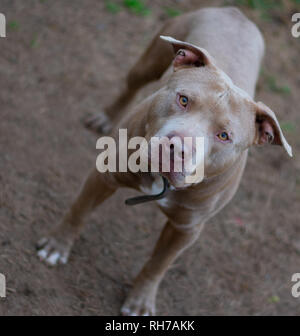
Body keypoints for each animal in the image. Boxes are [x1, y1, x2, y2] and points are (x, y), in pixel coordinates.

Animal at [36, 6, 292, 316]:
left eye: (224, 135)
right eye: (183, 99)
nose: (177, 147)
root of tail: (235, 11)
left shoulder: (185, 229)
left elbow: (158, 264)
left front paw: (141, 300)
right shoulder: (104, 176)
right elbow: (79, 212)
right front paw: (56, 246)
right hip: (150, 61)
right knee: (130, 85)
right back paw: (106, 117)